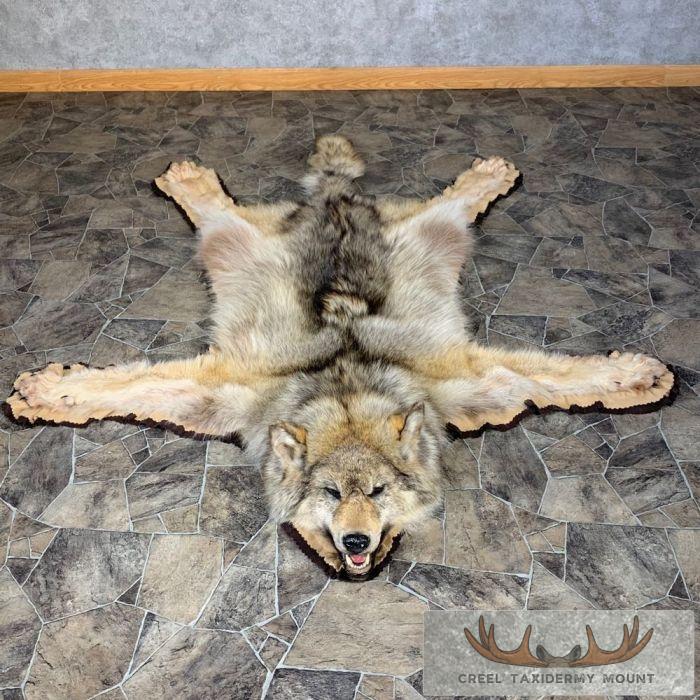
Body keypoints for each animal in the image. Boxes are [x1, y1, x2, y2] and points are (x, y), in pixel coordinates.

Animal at [7, 136, 674, 577]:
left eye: (377, 493)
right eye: (330, 495)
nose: (355, 543)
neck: (345, 382)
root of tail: (335, 202)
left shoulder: (472, 384)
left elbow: (563, 374)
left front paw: (639, 375)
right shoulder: (220, 393)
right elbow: (125, 387)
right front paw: (47, 392)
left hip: (435, 233)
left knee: (455, 199)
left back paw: (489, 172)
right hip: (234, 243)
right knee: (216, 207)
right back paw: (187, 180)